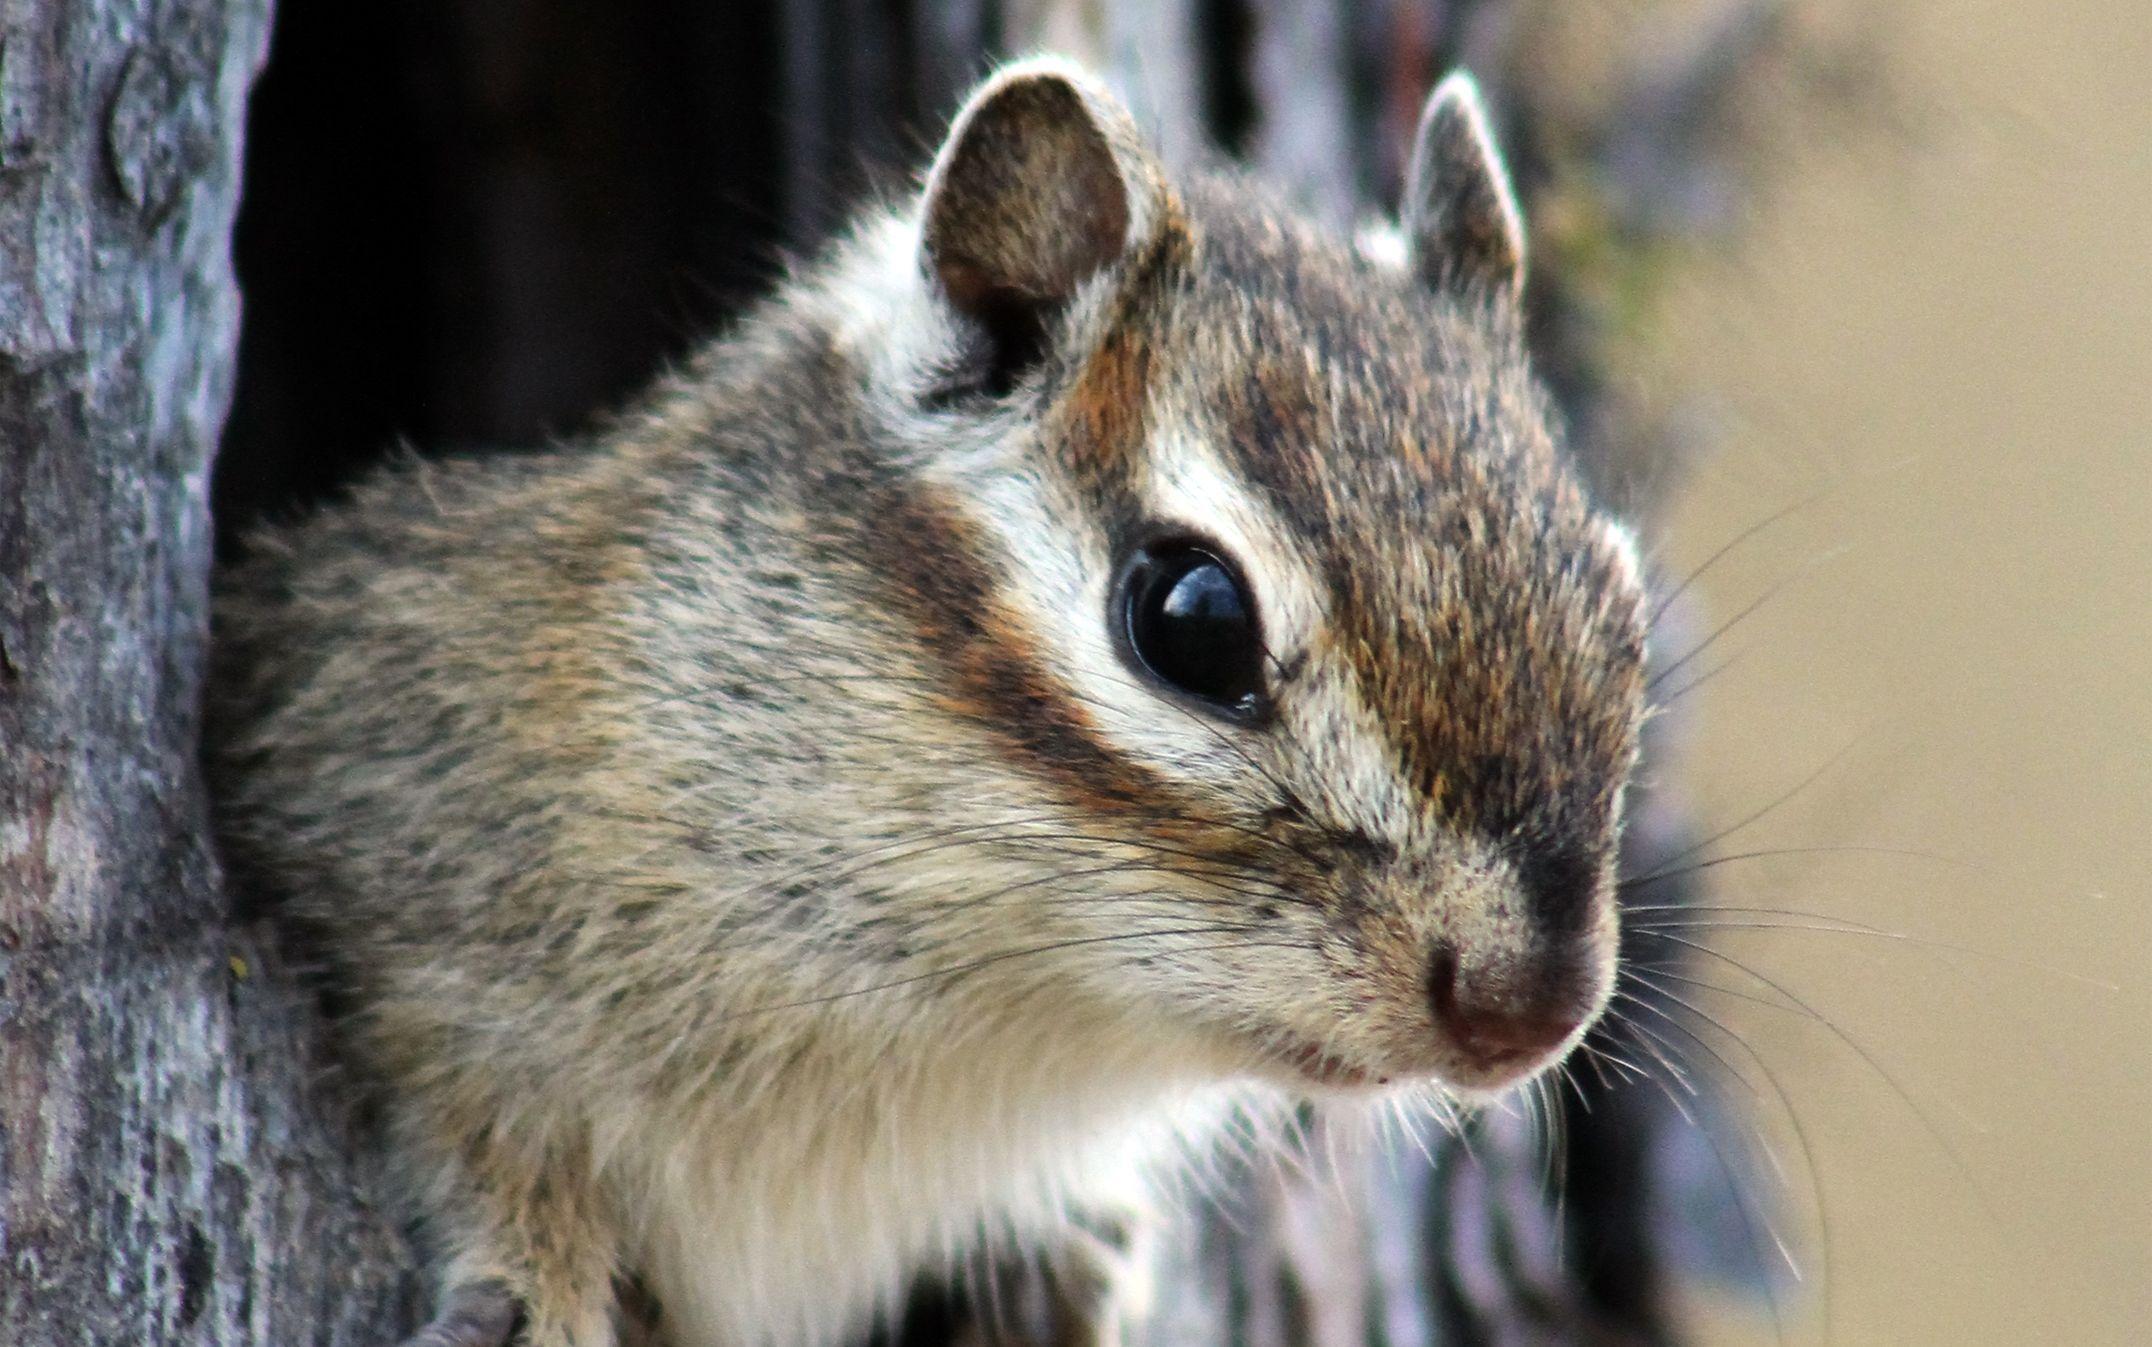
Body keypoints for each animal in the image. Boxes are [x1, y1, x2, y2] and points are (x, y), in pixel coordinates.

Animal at [207, 57, 1648, 1347]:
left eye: (1625, 607)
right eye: (1193, 621)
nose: (1528, 1012)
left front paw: (1065, 1266)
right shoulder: (376, 803)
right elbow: (471, 1109)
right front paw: (538, 1279)